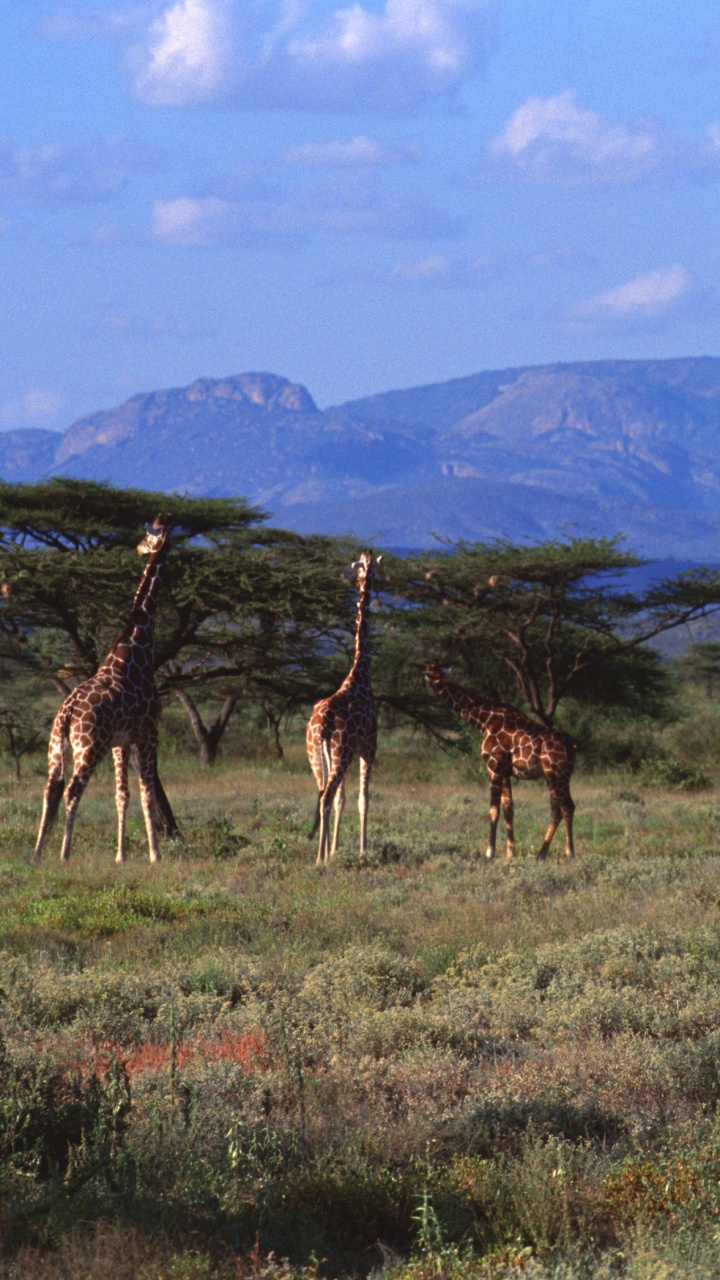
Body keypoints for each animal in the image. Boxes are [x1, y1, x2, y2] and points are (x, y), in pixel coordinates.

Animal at [33, 517, 178, 866]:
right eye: (149, 535)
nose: (138, 548)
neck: (135, 649)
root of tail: (67, 712)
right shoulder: (148, 731)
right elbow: (147, 792)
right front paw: (155, 855)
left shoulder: (120, 742)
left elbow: (122, 795)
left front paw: (121, 856)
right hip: (90, 747)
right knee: (72, 791)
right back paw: (64, 854)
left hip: (56, 748)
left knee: (50, 790)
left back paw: (38, 853)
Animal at [423, 660, 576, 860]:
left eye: (432, 671)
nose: (434, 681)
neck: (483, 720)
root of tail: (572, 745)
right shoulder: (505, 771)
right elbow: (508, 808)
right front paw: (510, 852)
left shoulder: (493, 765)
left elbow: (493, 809)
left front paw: (490, 852)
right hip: (560, 775)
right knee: (559, 808)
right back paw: (542, 854)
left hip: (555, 772)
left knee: (566, 806)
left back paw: (569, 853)